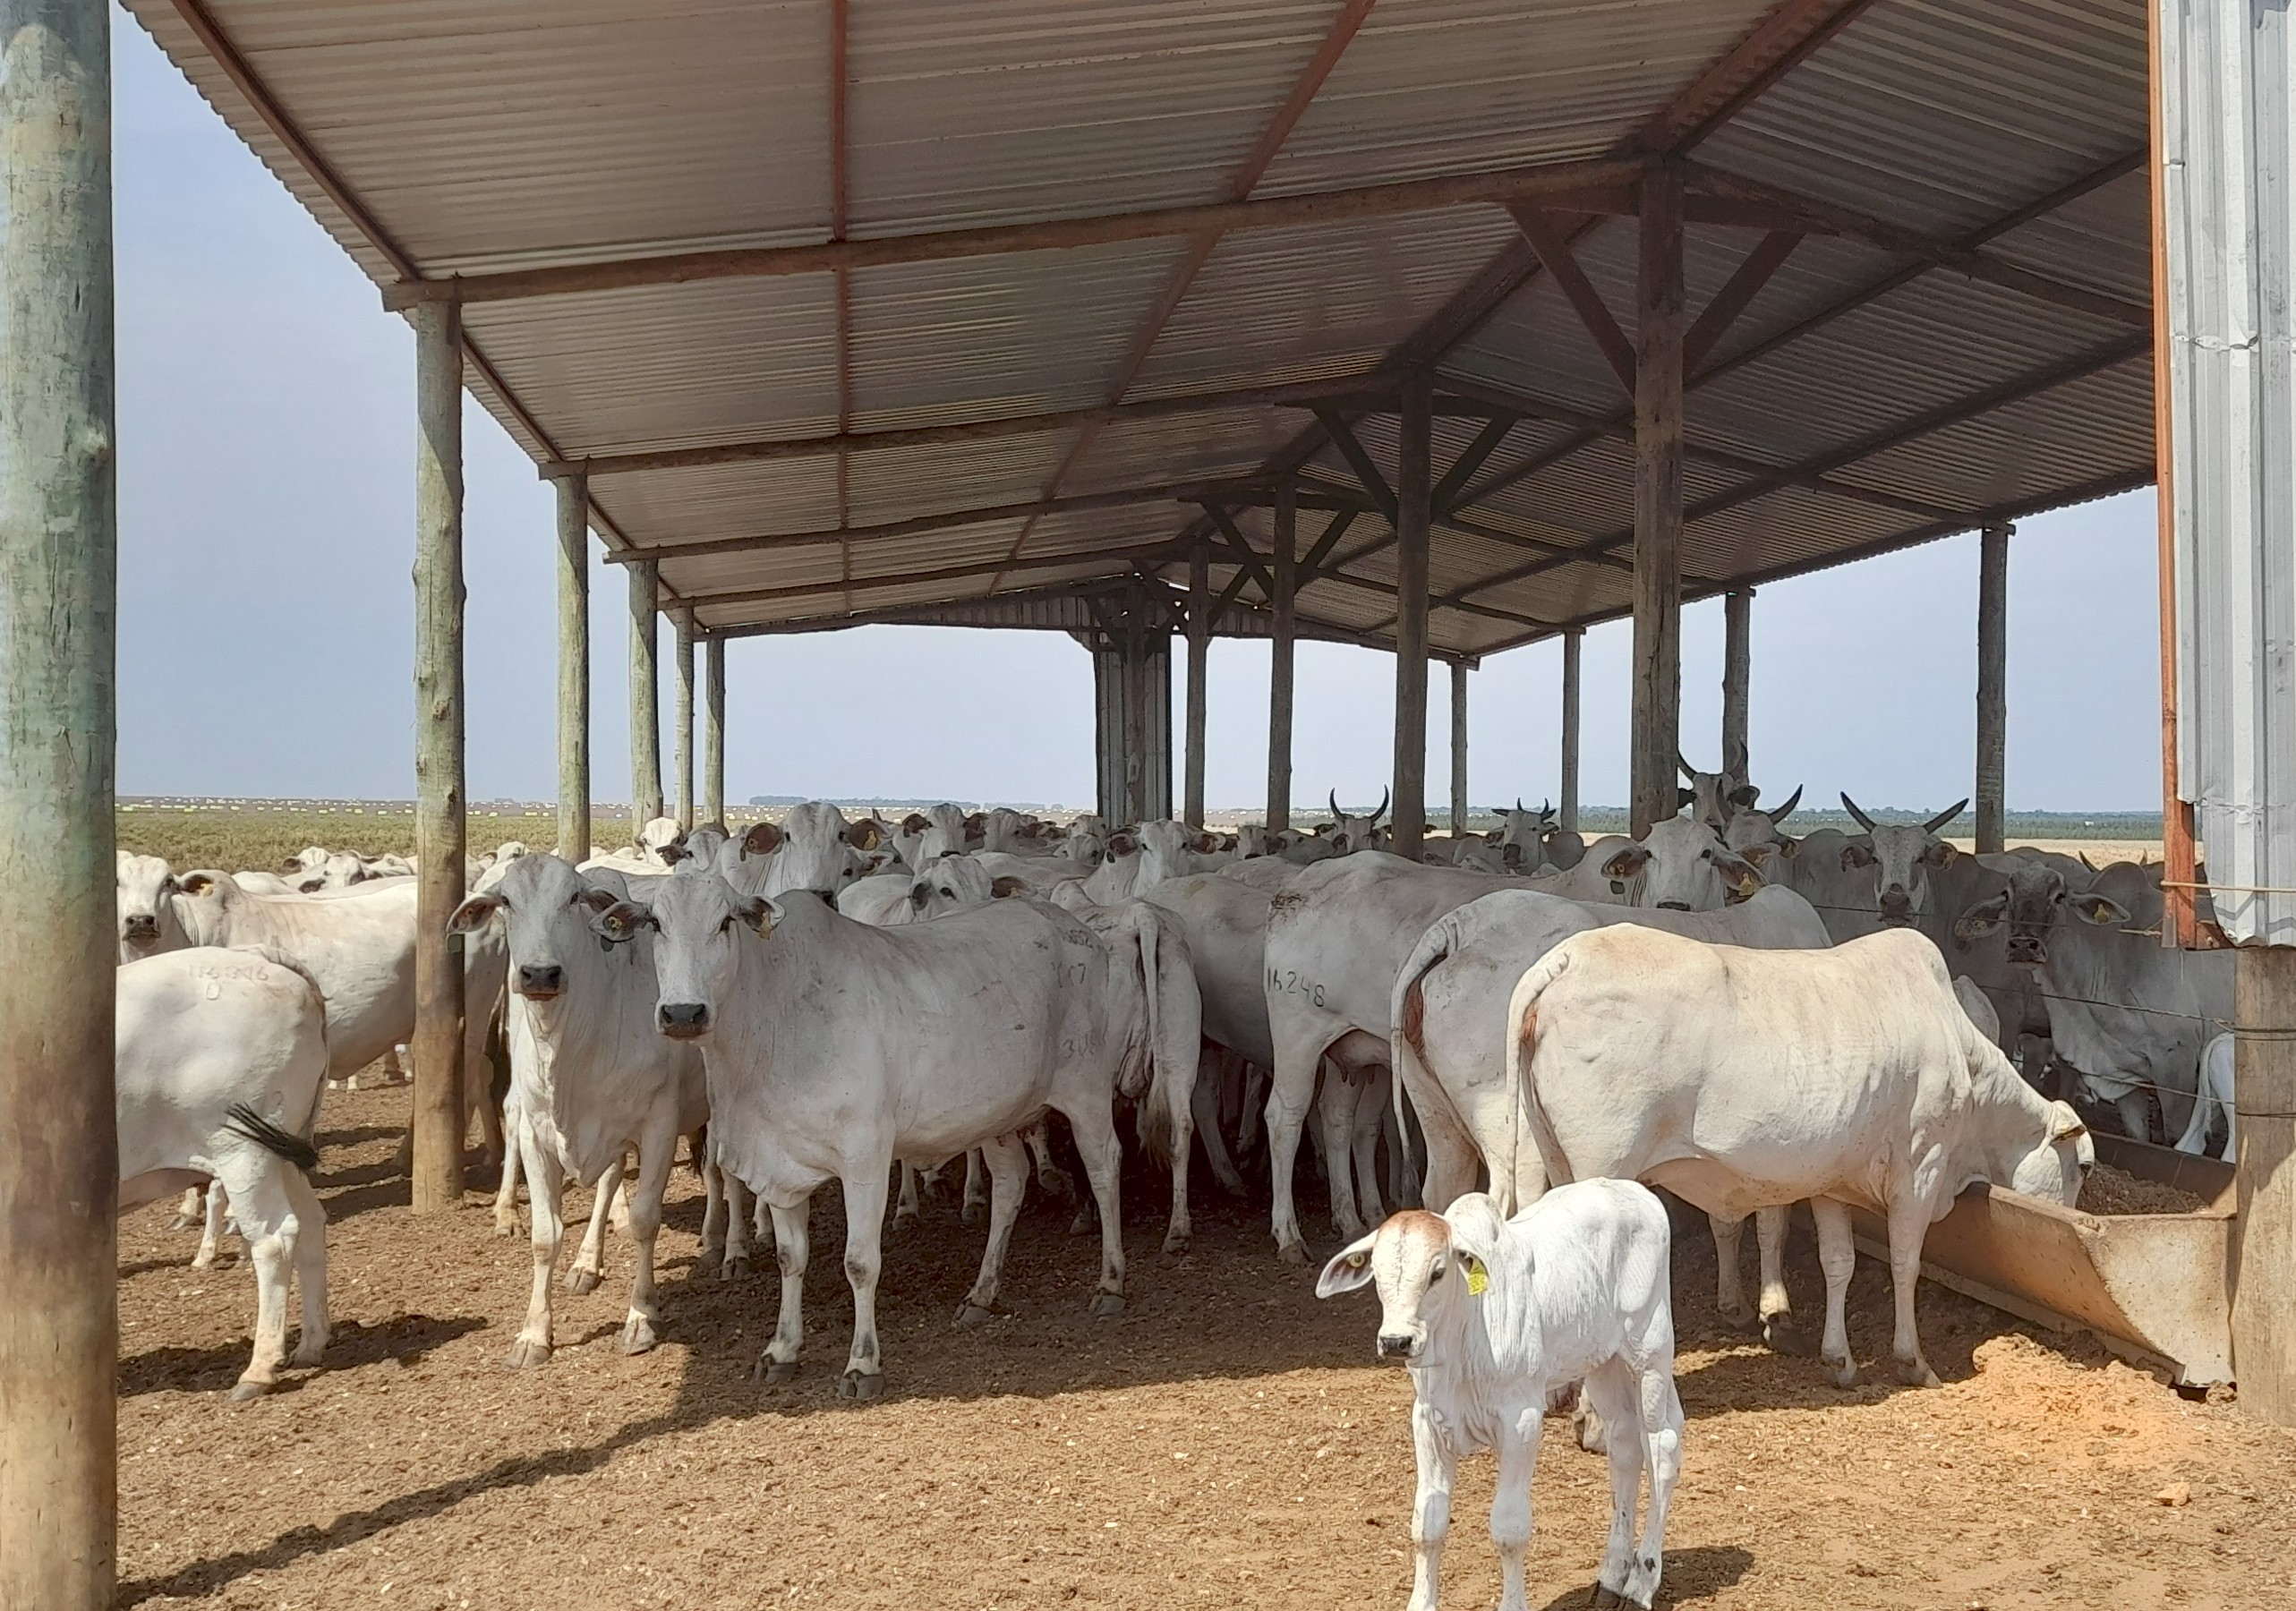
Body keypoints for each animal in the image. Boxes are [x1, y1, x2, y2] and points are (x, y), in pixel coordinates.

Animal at [118, 945, 331, 1398]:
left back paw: (258, 1370)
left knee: (274, 1240)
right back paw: (311, 1343)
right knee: (310, 1223)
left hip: (242, 1148)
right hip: (282, 1151)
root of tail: (259, 957)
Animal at [597, 870, 1190, 1397]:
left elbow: (860, 1262)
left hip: (1086, 1088)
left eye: (724, 922)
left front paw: (863, 1364)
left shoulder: (865, 1158)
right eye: (656, 924)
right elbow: (791, 1258)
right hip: (996, 1114)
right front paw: (781, 1350)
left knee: (1105, 1167)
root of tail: (1075, 925)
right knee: (1010, 1185)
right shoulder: (780, 1163)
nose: (683, 1013)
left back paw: (1111, 1282)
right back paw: (981, 1293)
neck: (774, 1022)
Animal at [1317, 1186, 1683, 1611]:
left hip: (1650, 1352)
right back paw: (1611, 1578)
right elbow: (1428, 1522)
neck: (1462, 1333)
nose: (1396, 1341)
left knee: (1661, 1447)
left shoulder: (1521, 1420)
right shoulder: (1427, 1421)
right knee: (1624, 1445)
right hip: (1603, 1362)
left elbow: (1509, 1529)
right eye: (1376, 1272)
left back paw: (1641, 1583)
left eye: (1437, 1273)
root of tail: (1636, 1192)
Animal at [1391, 885, 1830, 1342]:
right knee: (1506, 1203)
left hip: (1435, 1112)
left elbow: (1727, 1222)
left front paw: (1737, 1305)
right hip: (1509, 1123)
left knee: (1443, 1191)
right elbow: (1771, 1220)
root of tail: (1454, 930)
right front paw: (1776, 1312)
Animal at [1504, 925, 2093, 1389]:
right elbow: (1905, 1262)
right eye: (2083, 1166)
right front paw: (1913, 1361)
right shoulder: (1920, 1170)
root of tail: (1567, 958)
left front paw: (1840, 1359)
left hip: (1553, 1157)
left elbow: (1839, 1264)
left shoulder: (1833, 1184)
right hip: (1603, 1165)